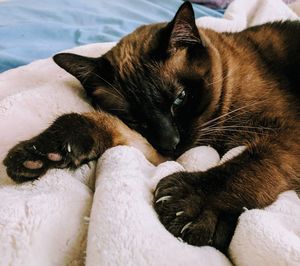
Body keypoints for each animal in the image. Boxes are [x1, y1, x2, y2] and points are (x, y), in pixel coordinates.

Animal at [4, 1, 300, 251]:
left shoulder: (284, 133)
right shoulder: (159, 154)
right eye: (136, 119)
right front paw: (40, 153)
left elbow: (248, 165)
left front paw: (189, 206)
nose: (171, 143)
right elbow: (97, 124)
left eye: (180, 98)